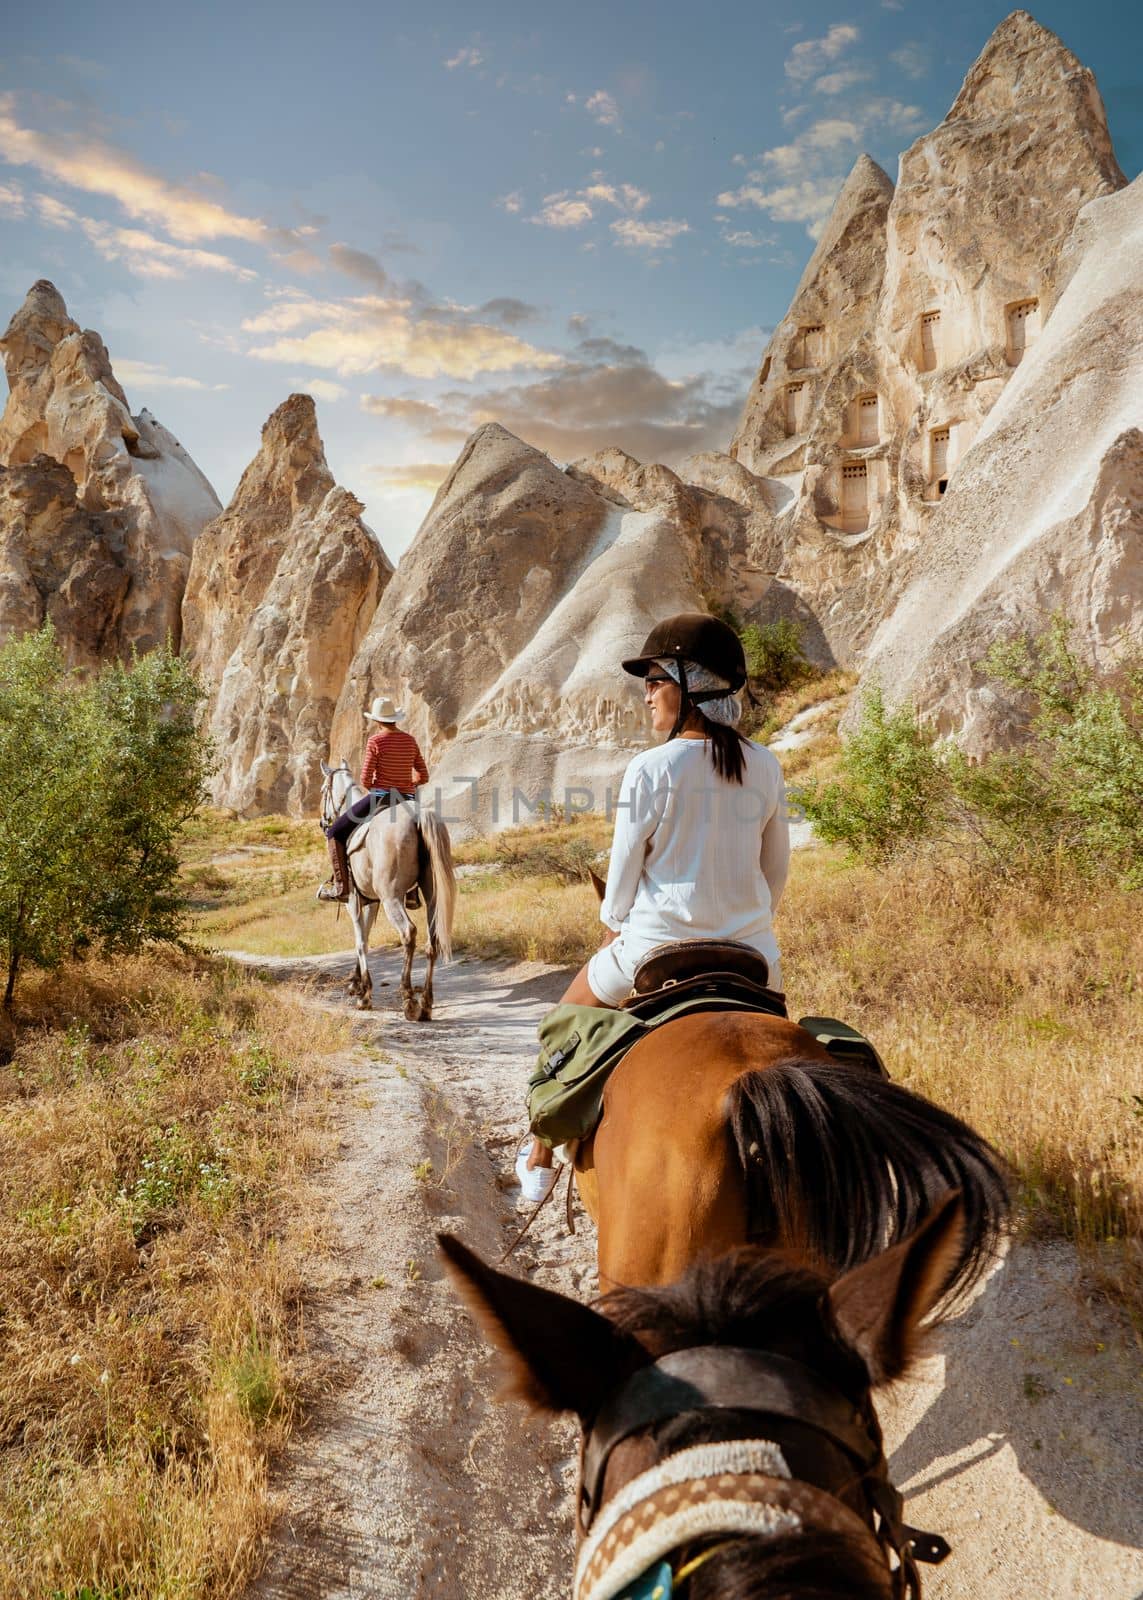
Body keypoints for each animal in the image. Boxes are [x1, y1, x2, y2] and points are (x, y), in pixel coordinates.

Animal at [315, 758, 454, 1011]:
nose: (323, 822)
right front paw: (356, 983)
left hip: (392, 898)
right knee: (433, 939)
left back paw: (408, 996)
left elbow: (360, 941)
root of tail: (417, 817)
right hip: (431, 896)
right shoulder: (372, 901)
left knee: (408, 933)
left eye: (322, 791)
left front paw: (365, 994)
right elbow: (366, 936)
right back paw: (426, 1000)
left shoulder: (353, 901)